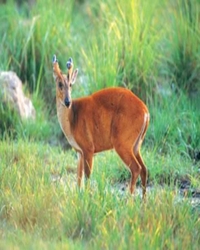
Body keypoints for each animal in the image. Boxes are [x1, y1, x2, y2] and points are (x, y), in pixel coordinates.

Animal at [52, 54, 149, 197]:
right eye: (59, 84)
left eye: (70, 85)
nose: (67, 101)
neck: (72, 119)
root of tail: (145, 111)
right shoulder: (79, 151)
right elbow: (78, 178)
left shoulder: (88, 148)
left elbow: (87, 177)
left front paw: (87, 198)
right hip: (137, 144)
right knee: (144, 169)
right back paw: (143, 201)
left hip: (122, 142)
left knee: (136, 168)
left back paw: (129, 200)